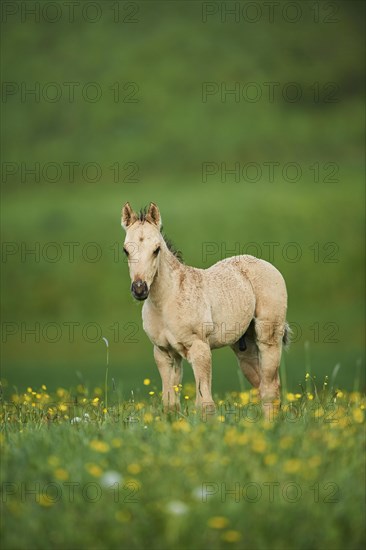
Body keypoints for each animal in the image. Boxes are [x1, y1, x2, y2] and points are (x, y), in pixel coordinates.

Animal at [122, 203, 288, 418]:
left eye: (156, 249)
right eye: (125, 250)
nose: (139, 289)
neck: (167, 300)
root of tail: (263, 262)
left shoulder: (199, 348)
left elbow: (205, 404)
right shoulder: (164, 353)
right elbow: (170, 404)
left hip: (269, 336)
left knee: (270, 387)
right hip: (244, 347)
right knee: (262, 385)